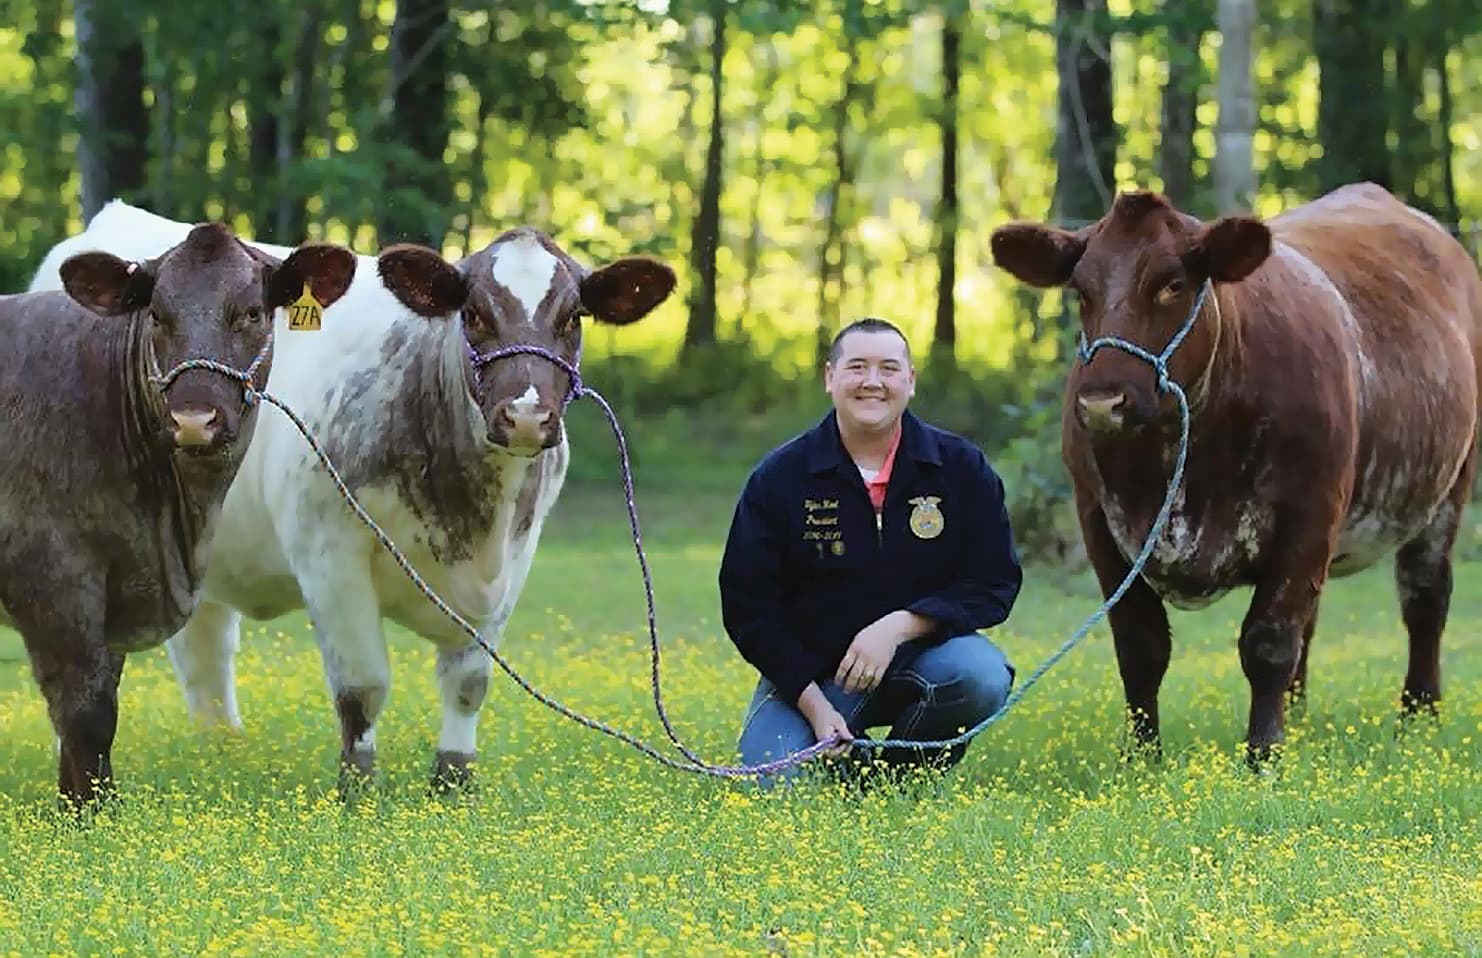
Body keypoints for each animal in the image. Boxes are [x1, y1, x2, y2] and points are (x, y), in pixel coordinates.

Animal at [31, 201, 677, 791]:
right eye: (473, 313)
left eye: (573, 317)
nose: (523, 415)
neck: (472, 522)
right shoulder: (330, 554)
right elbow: (363, 687)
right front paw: (358, 790)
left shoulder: (514, 563)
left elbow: (469, 684)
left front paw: (453, 782)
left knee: (205, 648)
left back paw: (224, 752)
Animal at [989, 183, 1482, 763]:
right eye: (1081, 290)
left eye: (1172, 284)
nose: (1102, 403)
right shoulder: (1098, 518)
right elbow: (1139, 644)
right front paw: (1143, 758)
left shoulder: (1310, 511)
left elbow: (1268, 641)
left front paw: (1263, 755)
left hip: (1449, 486)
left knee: (1424, 597)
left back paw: (1418, 719)